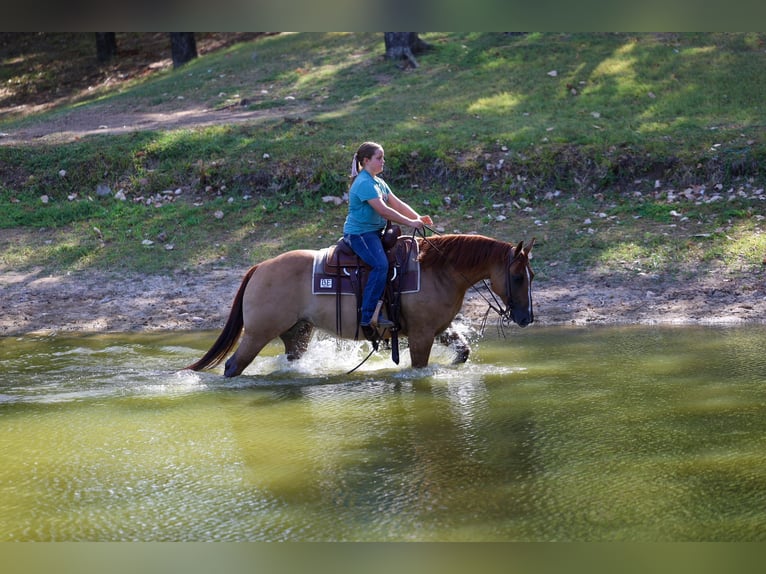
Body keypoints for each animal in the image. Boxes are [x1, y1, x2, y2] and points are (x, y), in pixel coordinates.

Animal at [185, 234, 535, 377]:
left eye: (530, 275)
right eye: (518, 276)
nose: (526, 318)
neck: (439, 270)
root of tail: (259, 268)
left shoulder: (439, 329)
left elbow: (462, 352)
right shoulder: (421, 335)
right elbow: (419, 368)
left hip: (297, 333)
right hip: (258, 333)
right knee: (233, 365)